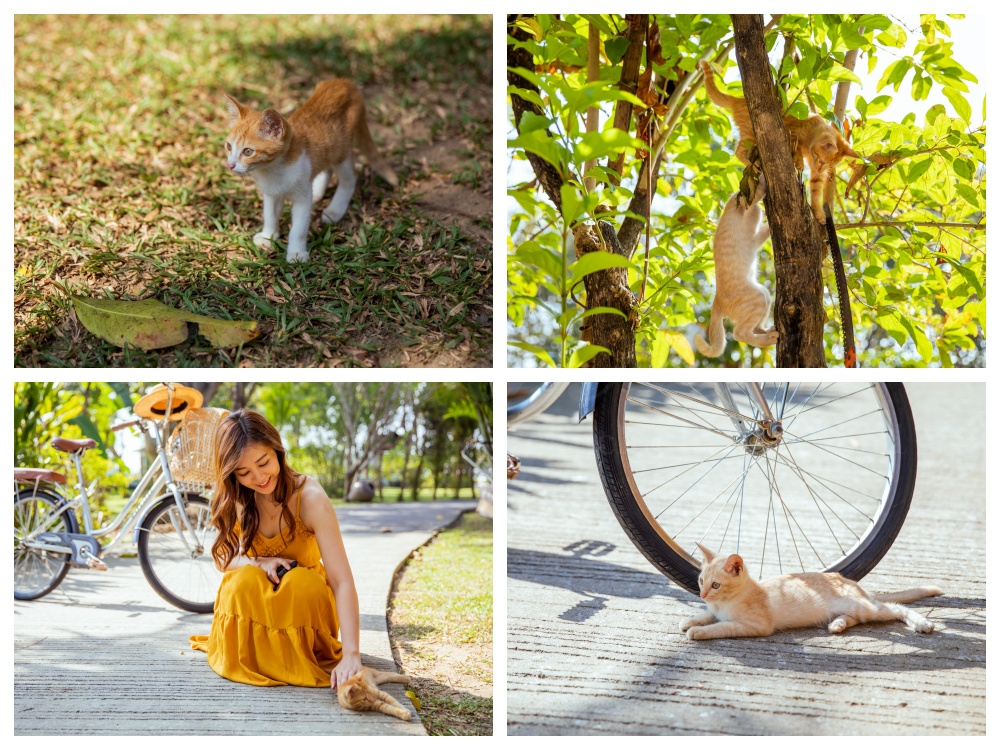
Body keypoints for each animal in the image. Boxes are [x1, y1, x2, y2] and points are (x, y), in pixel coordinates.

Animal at [225, 79, 396, 264]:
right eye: (229, 146)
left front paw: (296, 253)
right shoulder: (271, 193)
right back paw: (318, 192)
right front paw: (268, 236)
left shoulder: (302, 197)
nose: (230, 165)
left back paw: (335, 209)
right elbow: (270, 215)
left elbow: (298, 228)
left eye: (248, 151)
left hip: (340, 151)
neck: (273, 170)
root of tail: (344, 81)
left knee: (350, 178)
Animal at [684, 544, 940, 644]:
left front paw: (698, 631)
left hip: (863, 606)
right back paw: (837, 624)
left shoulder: (755, 625)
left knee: (897, 608)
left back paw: (922, 623)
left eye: (716, 585)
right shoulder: (714, 609)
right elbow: (709, 615)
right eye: (701, 581)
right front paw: (691, 620)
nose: (702, 595)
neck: (724, 603)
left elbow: (722, 626)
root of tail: (847, 581)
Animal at [696, 181, 780, 360]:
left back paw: (767, 331)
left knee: (752, 328)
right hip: (758, 298)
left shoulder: (756, 239)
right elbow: (759, 188)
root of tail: (717, 301)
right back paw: (768, 339)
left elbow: (765, 230)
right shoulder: (744, 200)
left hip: (764, 295)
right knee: (739, 333)